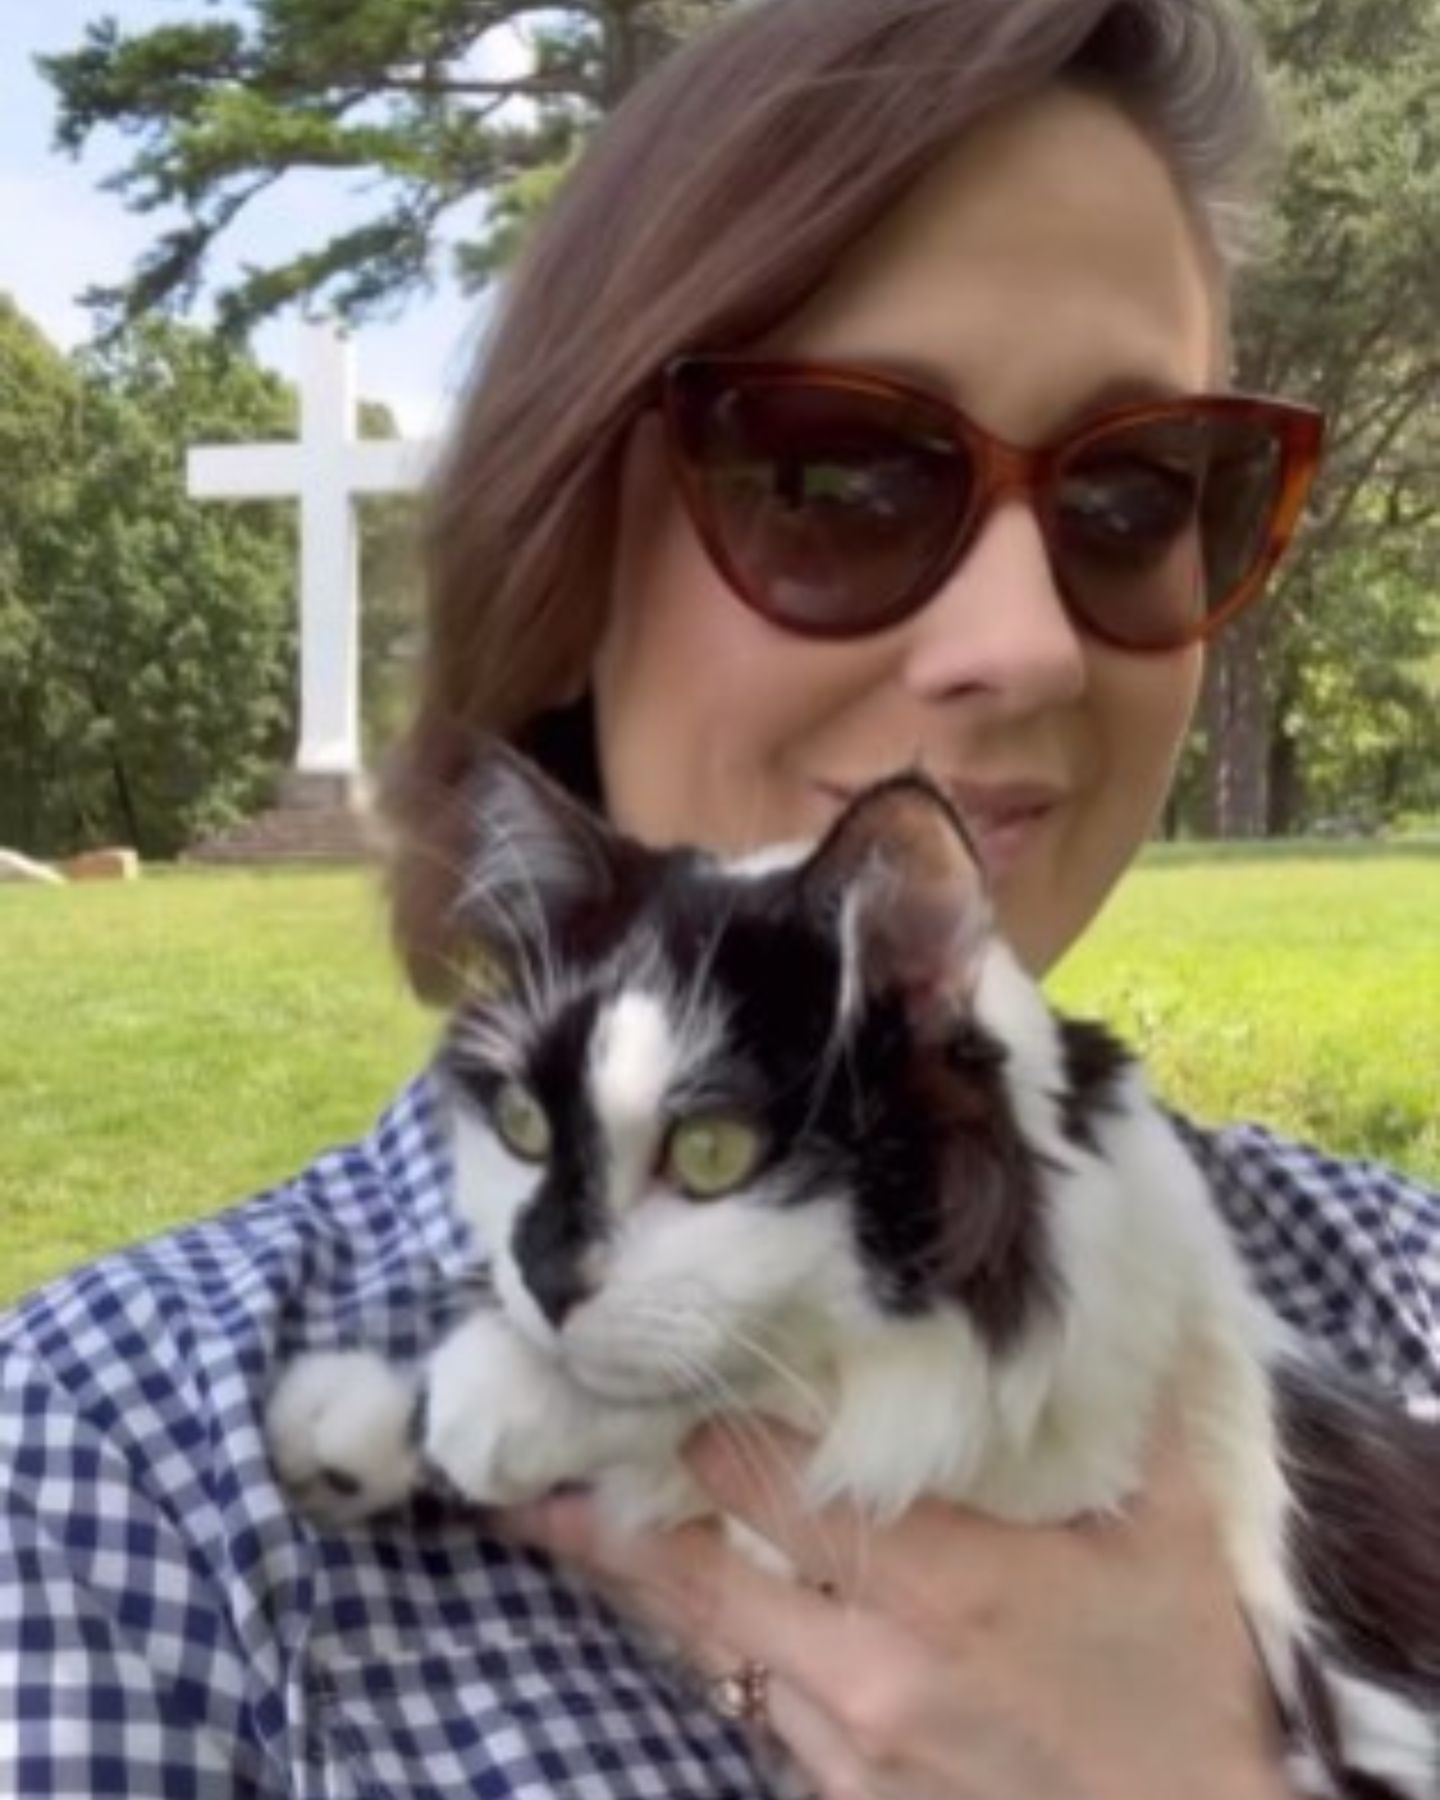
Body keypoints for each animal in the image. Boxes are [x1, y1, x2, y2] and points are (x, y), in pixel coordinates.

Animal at [264, 745, 1440, 1800]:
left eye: (711, 1154)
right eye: (520, 1128)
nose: (546, 1278)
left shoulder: (1044, 1447)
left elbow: (753, 1405)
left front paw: (489, 1398)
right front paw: (362, 1421)